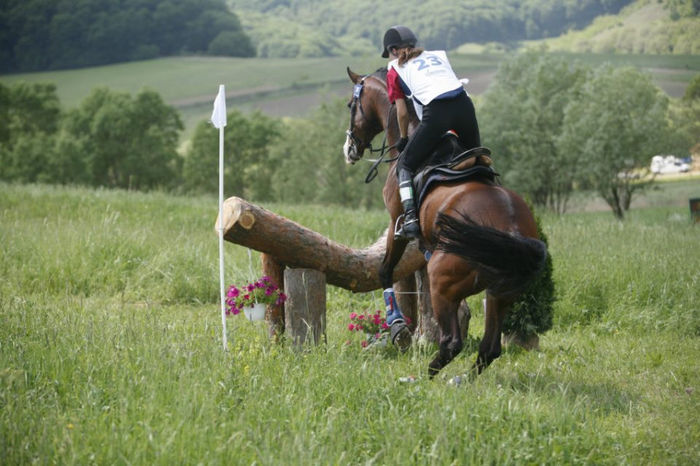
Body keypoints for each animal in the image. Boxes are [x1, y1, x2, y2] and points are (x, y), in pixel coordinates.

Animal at [344, 67, 548, 376]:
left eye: (351, 106)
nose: (349, 149)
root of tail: (512, 232)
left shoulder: (396, 225)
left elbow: (385, 270)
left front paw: (397, 325)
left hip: (442, 280)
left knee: (452, 341)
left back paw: (426, 376)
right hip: (500, 294)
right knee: (489, 348)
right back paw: (461, 379)